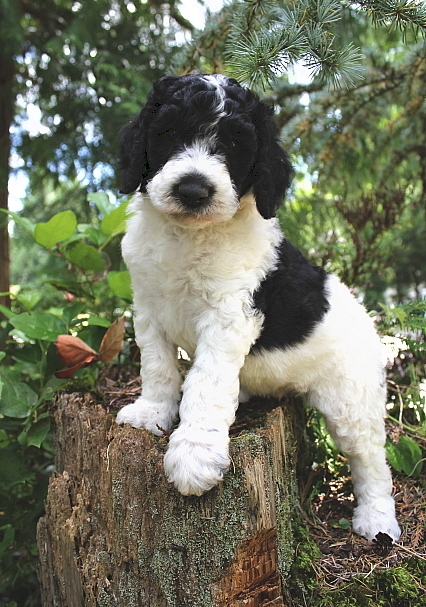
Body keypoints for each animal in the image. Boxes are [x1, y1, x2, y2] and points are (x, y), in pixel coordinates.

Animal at [115, 73, 400, 544]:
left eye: (234, 145)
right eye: (169, 132)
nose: (193, 190)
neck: (188, 236)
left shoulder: (229, 314)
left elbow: (206, 384)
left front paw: (194, 454)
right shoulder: (148, 305)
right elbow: (157, 367)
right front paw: (152, 412)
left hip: (351, 396)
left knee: (369, 457)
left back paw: (377, 518)